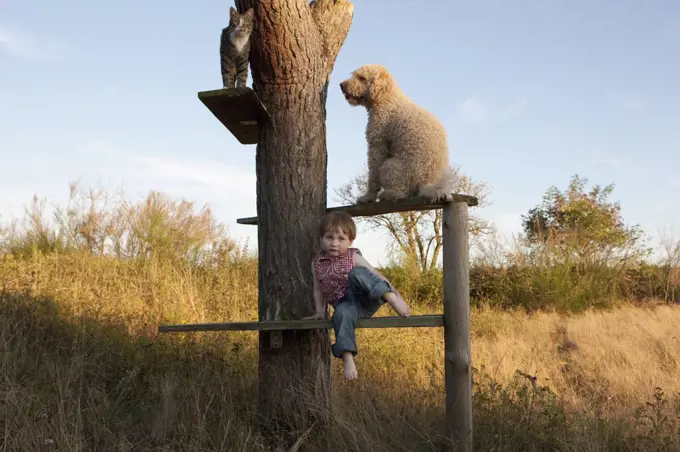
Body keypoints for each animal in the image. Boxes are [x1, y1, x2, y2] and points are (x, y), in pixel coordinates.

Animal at [340, 63, 456, 203]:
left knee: (400, 193)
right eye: (354, 75)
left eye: (362, 78)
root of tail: (427, 185)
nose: (341, 85)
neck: (386, 99)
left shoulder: (377, 145)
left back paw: (388, 195)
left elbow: (373, 175)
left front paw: (368, 197)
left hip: (390, 167)